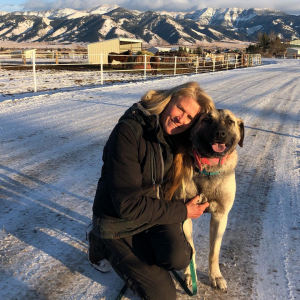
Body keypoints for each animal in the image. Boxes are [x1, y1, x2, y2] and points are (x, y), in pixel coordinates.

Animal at [165, 108, 245, 290]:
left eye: (230, 122)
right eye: (207, 120)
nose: (220, 133)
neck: (208, 167)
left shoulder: (220, 216)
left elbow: (214, 252)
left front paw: (215, 276)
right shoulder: (186, 214)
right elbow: (190, 249)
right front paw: (189, 274)